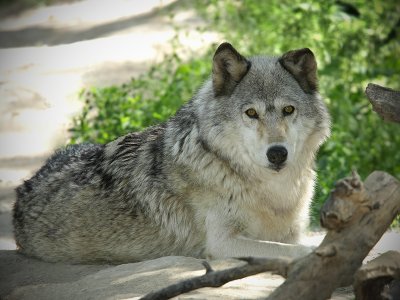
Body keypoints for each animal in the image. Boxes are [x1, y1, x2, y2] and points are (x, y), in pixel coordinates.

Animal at [13, 42, 332, 262]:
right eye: (251, 113)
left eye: (288, 110)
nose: (277, 153)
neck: (272, 194)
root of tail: (24, 188)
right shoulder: (222, 243)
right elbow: (297, 252)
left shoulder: (292, 232)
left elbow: (301, 245)